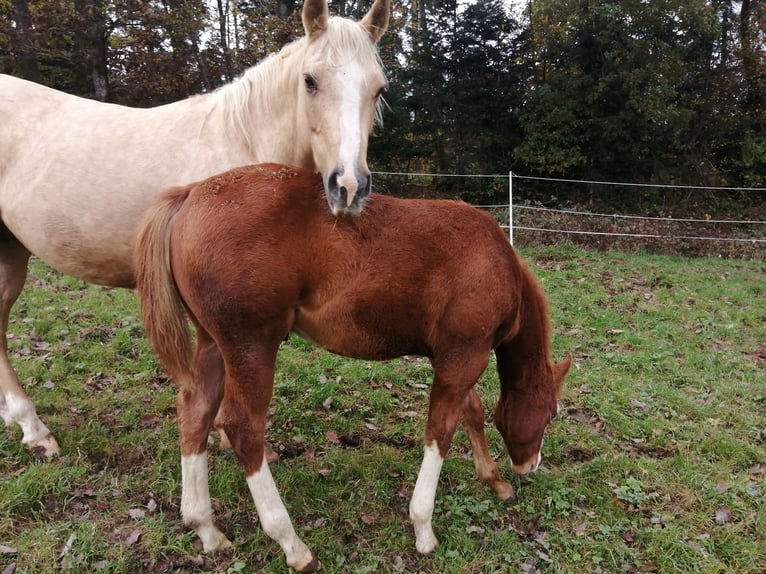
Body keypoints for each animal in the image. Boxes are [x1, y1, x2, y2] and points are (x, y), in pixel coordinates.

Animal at [136, 164, 568, 572]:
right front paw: (423, 528)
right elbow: (440, 432)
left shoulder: (451, 355)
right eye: (550, 413)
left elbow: (472, 412)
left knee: (195, 412)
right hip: (251, 347)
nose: (530, 464)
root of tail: (190, 194)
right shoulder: (465, 356)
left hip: (213, 344)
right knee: (242, 427)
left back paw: (205, 527)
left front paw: (494, 480)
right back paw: (292, 544)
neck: (496, 261)